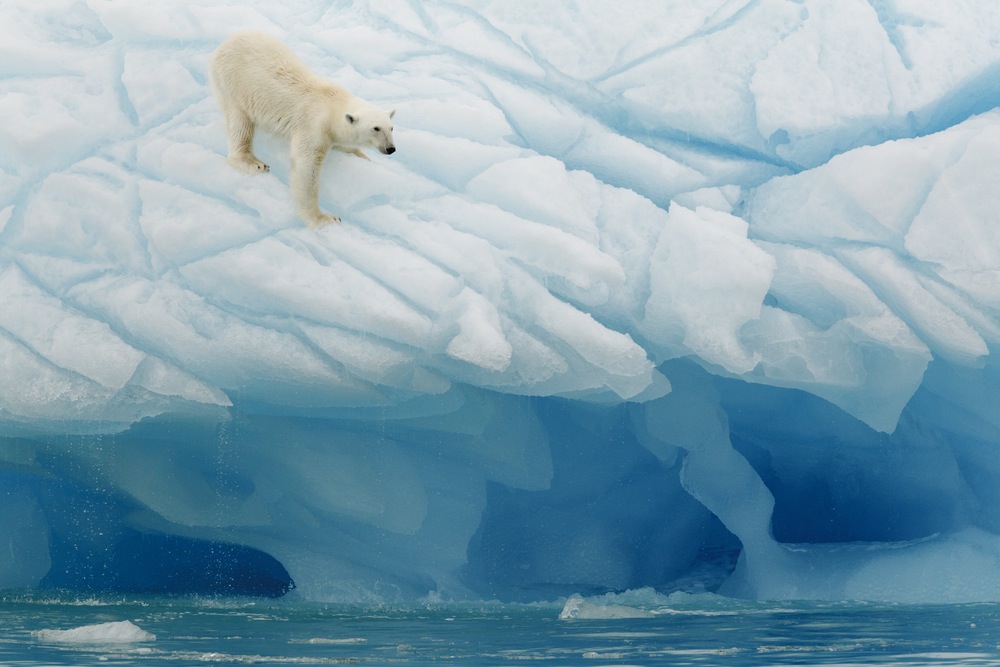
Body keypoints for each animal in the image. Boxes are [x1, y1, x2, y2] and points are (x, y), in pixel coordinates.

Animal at [208, 31, 395, 227]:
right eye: (376, 128)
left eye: (391, 128)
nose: (391, 149)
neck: (333, 104)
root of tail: (224, 45)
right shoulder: (314, 126)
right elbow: (306, 167)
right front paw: (324, 218)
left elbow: (343, 145)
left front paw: (363, 156)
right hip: (233, 83)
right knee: (239, 121)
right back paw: (253, 162)